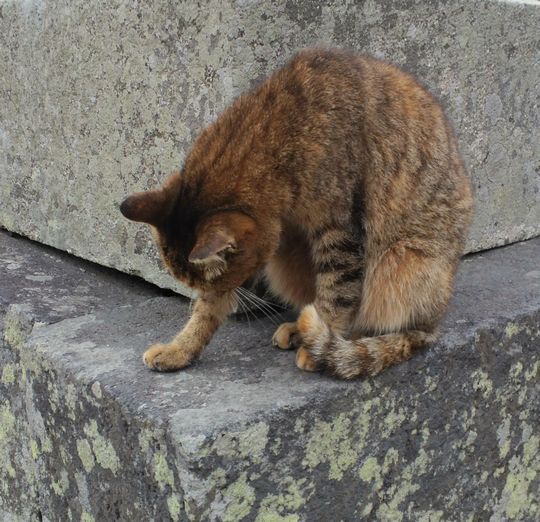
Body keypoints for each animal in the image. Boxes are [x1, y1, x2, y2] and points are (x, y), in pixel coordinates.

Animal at [119, 48, 472, 378]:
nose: (215, 292)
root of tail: (436, 322)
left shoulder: (340, 234)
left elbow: (337, 294)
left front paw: (322, 342)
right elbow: (204, 315)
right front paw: (179, 349)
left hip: (401, 263)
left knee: (388, 327)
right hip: (287, 263)